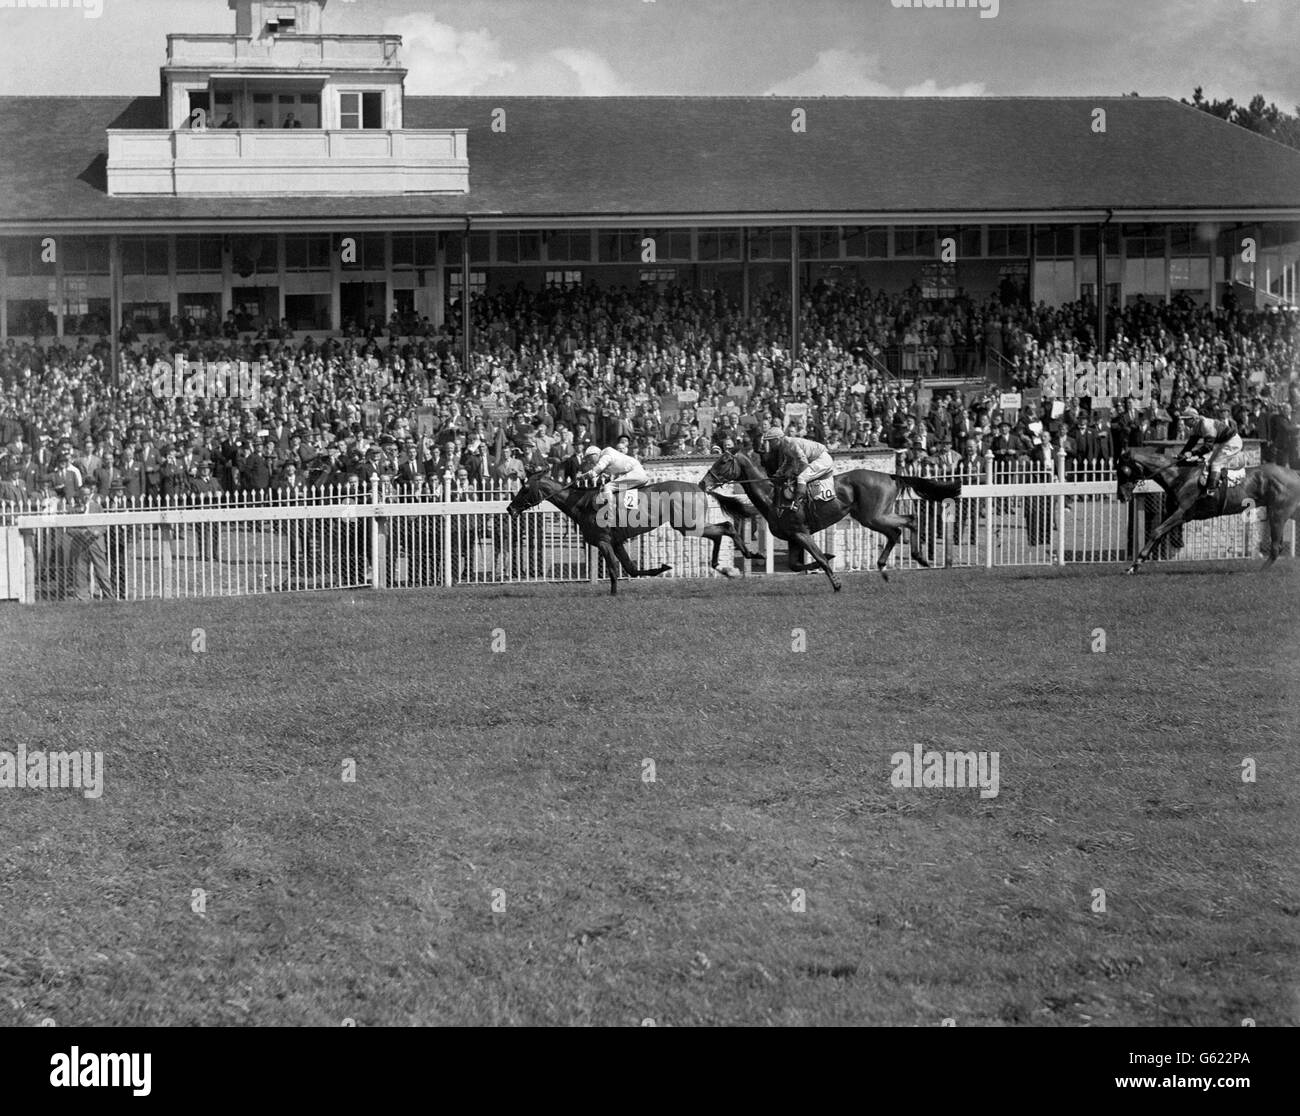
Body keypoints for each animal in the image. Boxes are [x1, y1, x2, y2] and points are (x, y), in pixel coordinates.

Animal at [499, 468, 759, 590]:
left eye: (524, 489)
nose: (510, 508)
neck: (581, 503)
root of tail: (700, 486)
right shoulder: (616, 542)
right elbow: (631, 570)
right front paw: (663, 567)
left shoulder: (604, 541)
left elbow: (615, 570)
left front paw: (613, 595)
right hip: (689, 525)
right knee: (722, 529)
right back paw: (724, 567)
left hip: (688, 524)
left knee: (726, 526)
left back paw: (745, 555)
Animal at [702, 450, 967, 595]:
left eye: (723, 461)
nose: (703, 483)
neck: (772, 496)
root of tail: (890, 475)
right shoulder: (793, 537)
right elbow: (796, 565)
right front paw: (829, 558)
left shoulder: (801, 533)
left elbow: (818, 558)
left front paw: (836, 582)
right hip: (871, 516)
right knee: (904, 525)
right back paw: (903, 561)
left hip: (872, 515)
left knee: (902, 526)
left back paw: (904, 560)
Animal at [1118, 444, 1300, 574]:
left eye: (1123, 471)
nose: (1121, 496)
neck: (1178, 476)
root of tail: (1294, 473)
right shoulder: (1171, 513)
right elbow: (1158, 534)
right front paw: (1135, 565)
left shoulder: (1182, 513)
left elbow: (1156, 532)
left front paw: (1135, 565)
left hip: (1278, 513)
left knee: (1276, 547)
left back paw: (1258, 572)